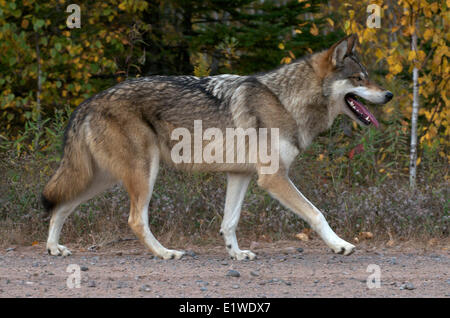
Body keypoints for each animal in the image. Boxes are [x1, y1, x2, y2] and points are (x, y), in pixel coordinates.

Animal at [43, 34, 394, 258]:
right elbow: (317, 213)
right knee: (134, 220)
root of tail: (87, 103)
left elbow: (229, 222)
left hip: (102, 178)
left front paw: (236, 254)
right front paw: (340, 245)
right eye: (359, 79)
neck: (286, 101)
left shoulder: (240, 175)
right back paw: (166, 253)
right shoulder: (274, 178)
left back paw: (54, 248)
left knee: (60, 206)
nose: (389, 95)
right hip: (143, 174)